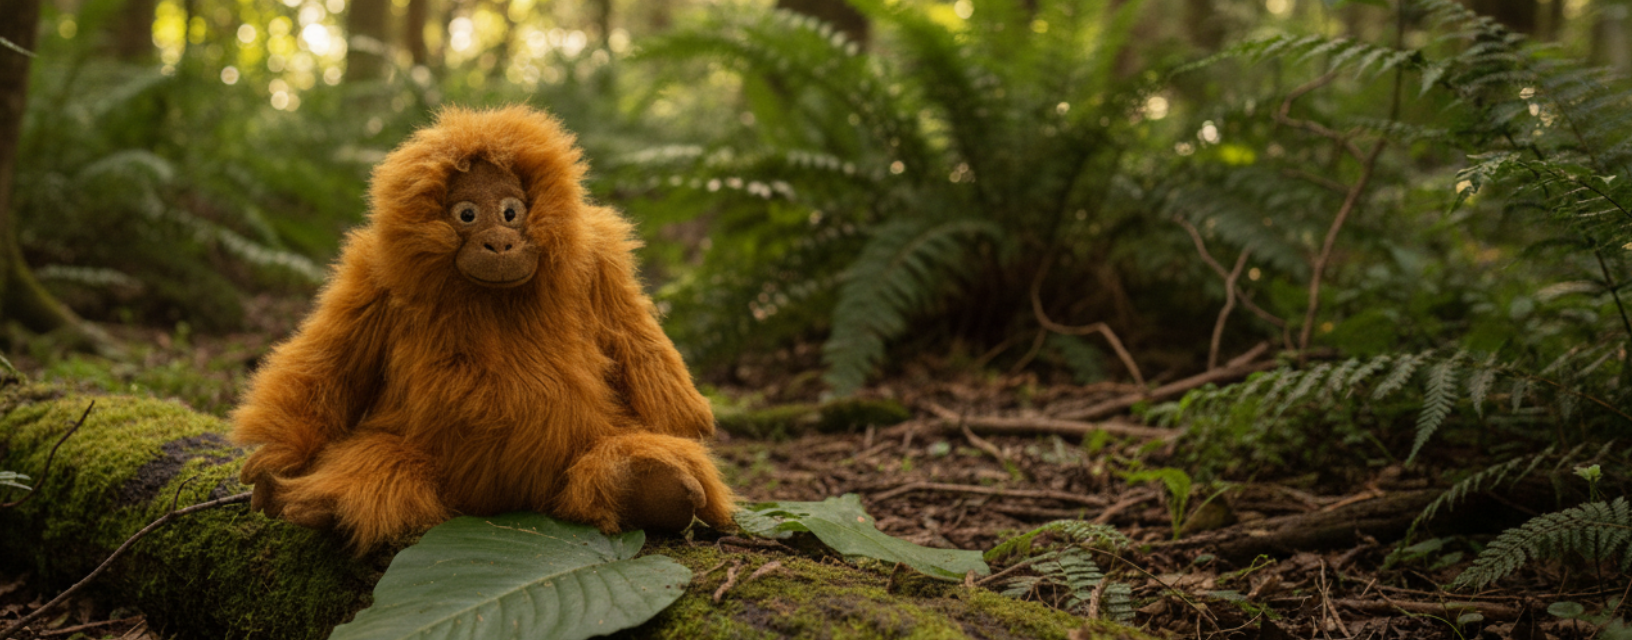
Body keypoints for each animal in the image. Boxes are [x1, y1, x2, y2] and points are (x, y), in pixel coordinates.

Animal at [229, 106, 736, 549]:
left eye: (511, 212)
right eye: (467, 215)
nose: (499, 243)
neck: (492, 298)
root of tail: (501, 502)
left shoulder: (601, 265)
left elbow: (638, 343)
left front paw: (689, 425)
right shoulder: (370, 279)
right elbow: (331, 362)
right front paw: (278, 456)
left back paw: (656, 484)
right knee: (376, 463)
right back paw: (313, 503)